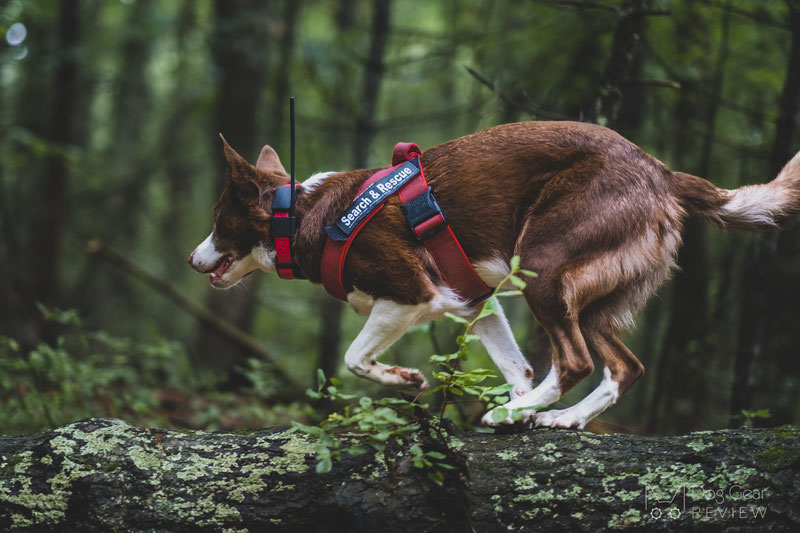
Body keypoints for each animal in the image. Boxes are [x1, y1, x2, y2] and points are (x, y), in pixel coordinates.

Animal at [189, 120, 800, 428]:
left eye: (218, 221)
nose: (193, 261)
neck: (304, 214)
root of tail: (664, 174)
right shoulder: (472, 301)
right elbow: (516, 365)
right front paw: (515, 396)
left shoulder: (409, 295)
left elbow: (354, 358)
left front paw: (406, 379)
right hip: (589, 296)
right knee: (625, 366)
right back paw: (561, 418)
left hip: (544, 268)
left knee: (576, 360)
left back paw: (513, 413)